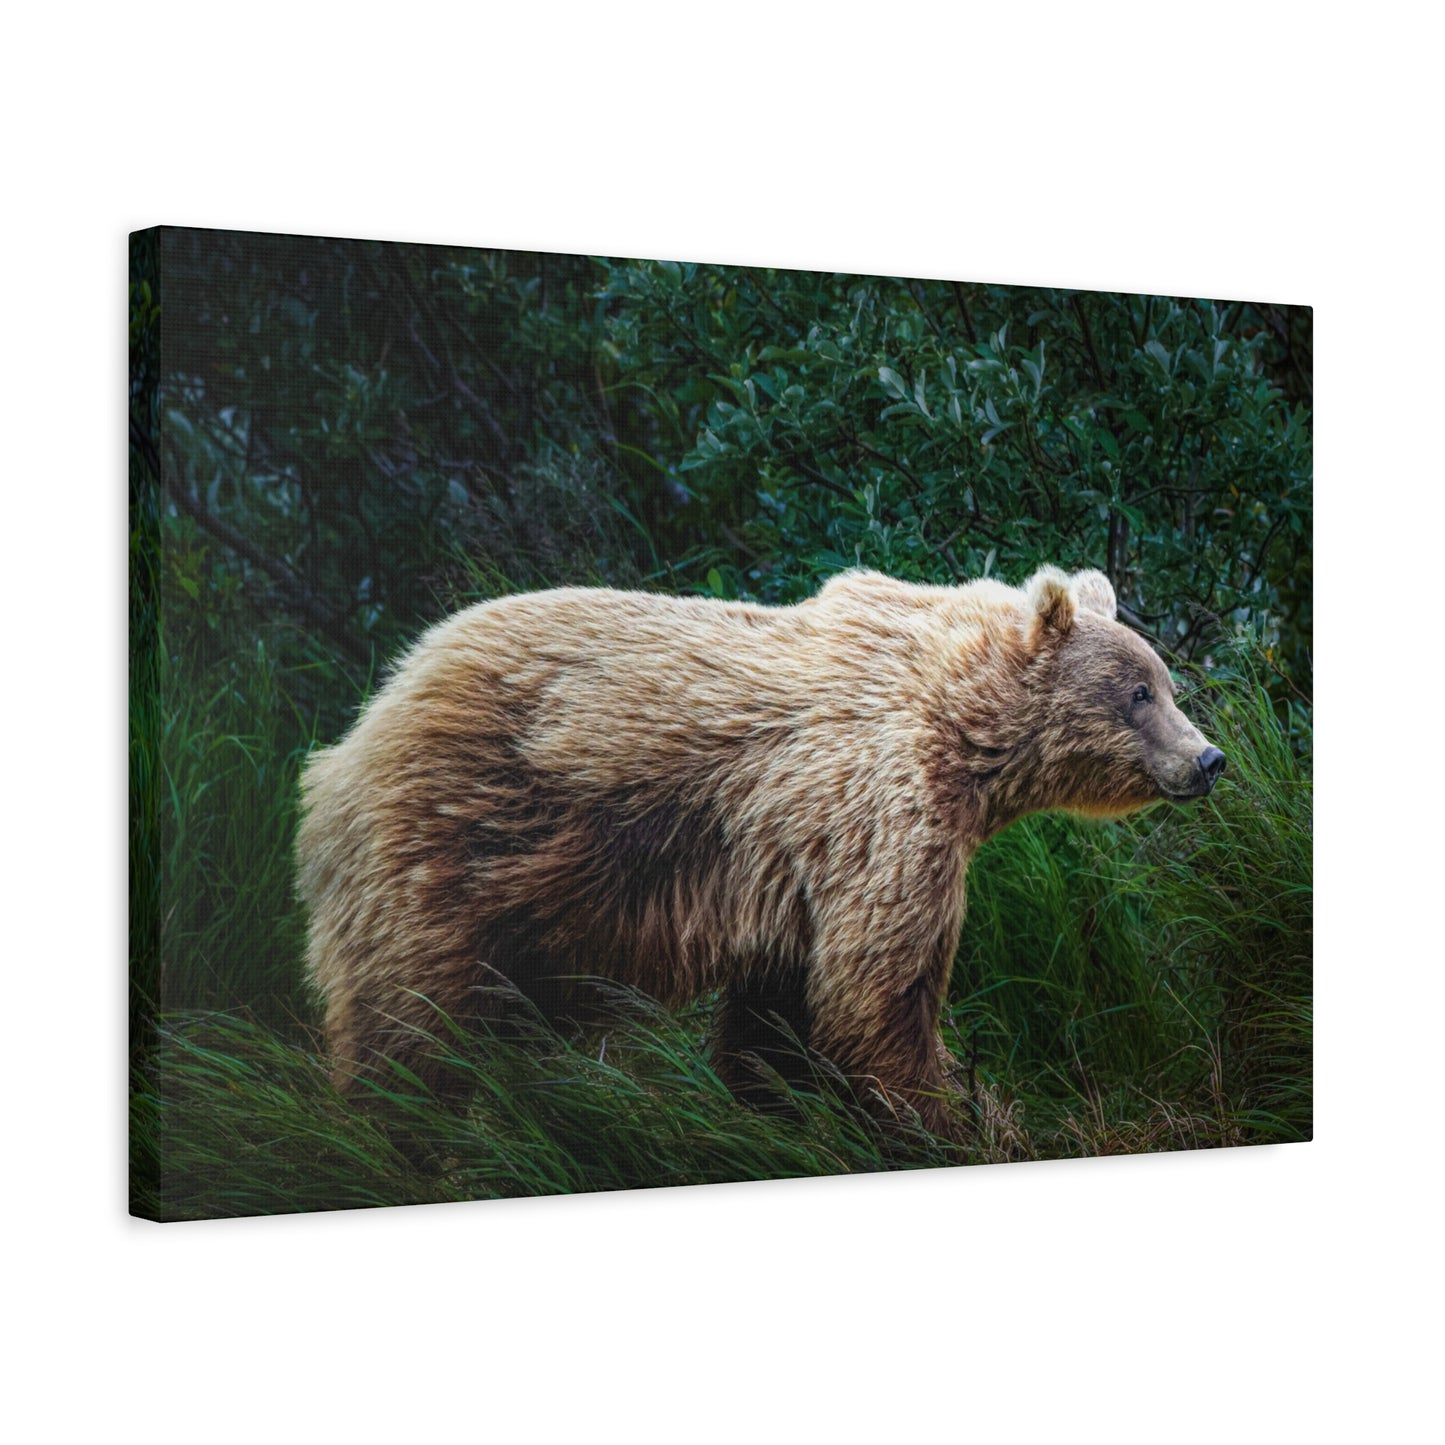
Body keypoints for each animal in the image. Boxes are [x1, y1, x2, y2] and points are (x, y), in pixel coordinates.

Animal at [296, 565, 1225, 1139]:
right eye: (1137, 692)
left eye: (1166, 681)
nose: (1208, 759)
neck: (965, 737)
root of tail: (358, 728)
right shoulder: (882, 817)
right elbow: (881, 993)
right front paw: (951, 1113)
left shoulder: (792, 872)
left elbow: (780, 1014)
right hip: (453, 846)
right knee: (410, 1021)